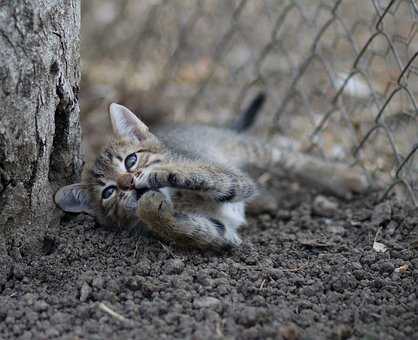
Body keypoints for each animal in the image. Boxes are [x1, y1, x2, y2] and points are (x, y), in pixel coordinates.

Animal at [54, 97, 366, 251]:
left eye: (131, 160)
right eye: (108, 192)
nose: (129, 183)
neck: (181, 199)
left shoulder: (228, 175)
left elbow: (198, 173)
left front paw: (159, 174)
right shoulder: (222, 232)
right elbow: (183, 228)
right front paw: (149, 206)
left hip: (250, 148)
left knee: (290, 160)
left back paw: (345, 177)